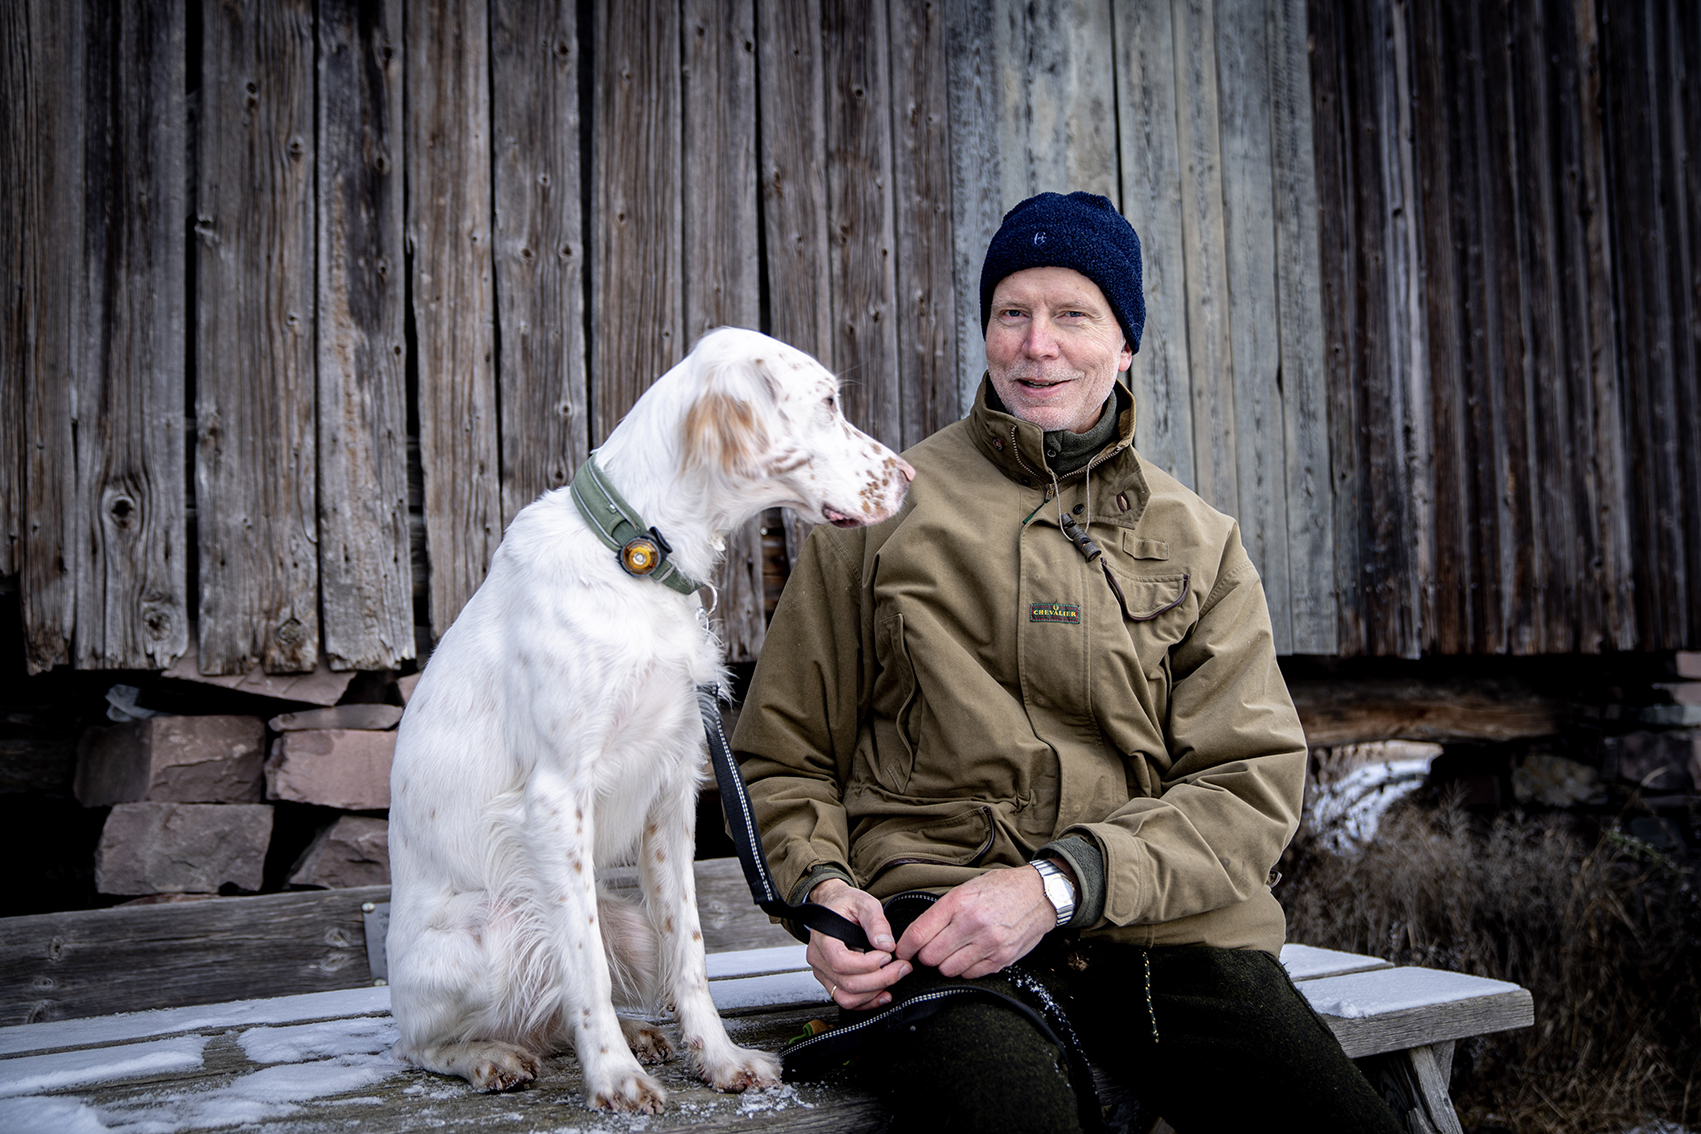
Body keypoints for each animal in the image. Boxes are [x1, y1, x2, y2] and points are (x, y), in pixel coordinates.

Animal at [387, 328, 918, 1115]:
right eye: (827, 402)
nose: (909, 476)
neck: (635, 555)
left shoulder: (673, 785)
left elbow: (687, 945)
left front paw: (718, 1058)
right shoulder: (556, 797)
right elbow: (583, 963)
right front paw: (613, 1077)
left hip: (626, 923)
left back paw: (636, 1035)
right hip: (483, 937)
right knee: (423, 1044)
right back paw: (491, 1056)